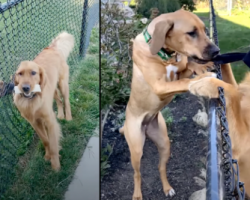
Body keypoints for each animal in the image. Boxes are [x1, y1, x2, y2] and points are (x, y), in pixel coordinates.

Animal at [13, 31, 74, 170]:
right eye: (20, 73)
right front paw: (47, 156)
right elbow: (45, 140)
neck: (32, 100)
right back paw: (61, 114)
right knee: (59, 100)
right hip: (54, 90)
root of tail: (51, 48)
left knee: (66, 100)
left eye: (33, 73)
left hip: (62, 84)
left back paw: (68, 117)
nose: (25, 88)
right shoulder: (35, 122)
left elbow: (53, 143)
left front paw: (56, 166)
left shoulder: (50, 121)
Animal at [119, 9, 219, 200]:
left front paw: (201, 68)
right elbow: (184, 81)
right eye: (191, 33)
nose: (217, 51)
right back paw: (137, 194)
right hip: (136, 148)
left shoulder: (178, 72)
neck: (165, 55)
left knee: (161, 167)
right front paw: (203, 79)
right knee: (137, 174)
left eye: (204, 30)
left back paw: (167, 188)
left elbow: (188, 67)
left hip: (164, 143)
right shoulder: (161, 86)